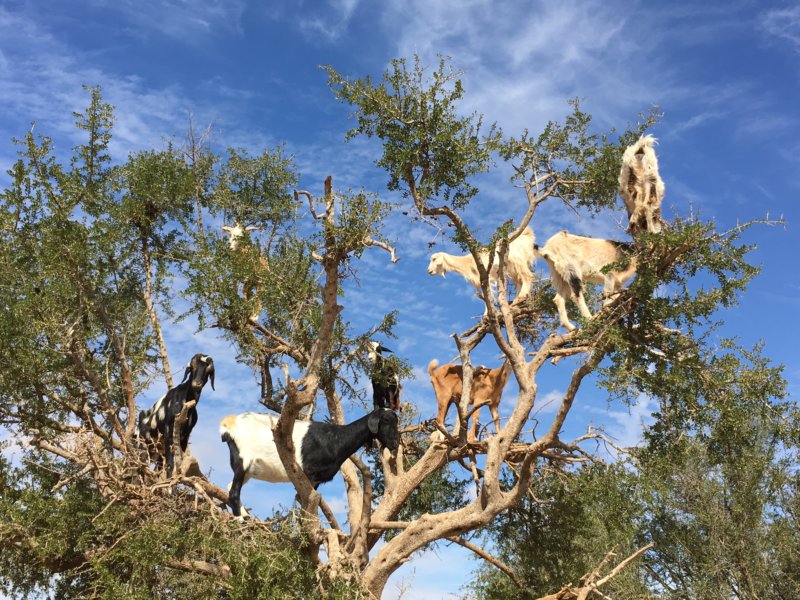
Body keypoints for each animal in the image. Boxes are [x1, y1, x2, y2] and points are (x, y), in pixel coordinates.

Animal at [220, 408, 400, 517]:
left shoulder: (316, 480)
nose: (395, 443)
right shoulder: (310, 474)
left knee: (230, 487)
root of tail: (228, 423)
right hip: (242, 460)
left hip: (248, 470)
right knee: (234, 493)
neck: (335, 439)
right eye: (385, 421)